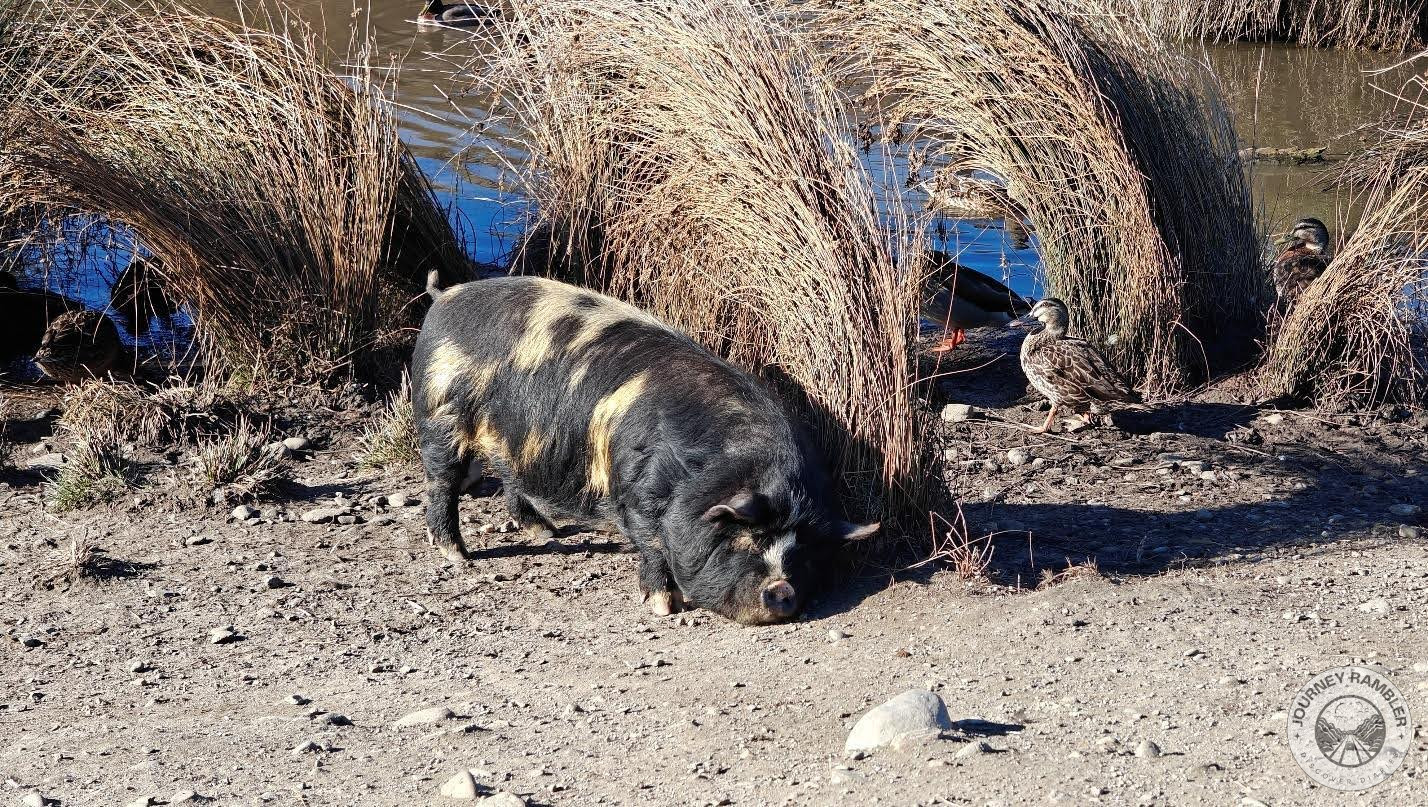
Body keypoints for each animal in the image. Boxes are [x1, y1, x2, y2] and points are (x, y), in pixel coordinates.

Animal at [411, 272, 878, 625]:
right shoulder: (639, 493)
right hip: (440, 413)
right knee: (442, 483)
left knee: (510, 477)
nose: (781, 589)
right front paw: (664, 607)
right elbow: (653, 544)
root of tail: (443, 297)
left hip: (510, 436)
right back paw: (458, 556)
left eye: (803, 552)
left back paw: (547, 532)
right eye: (747, 538)